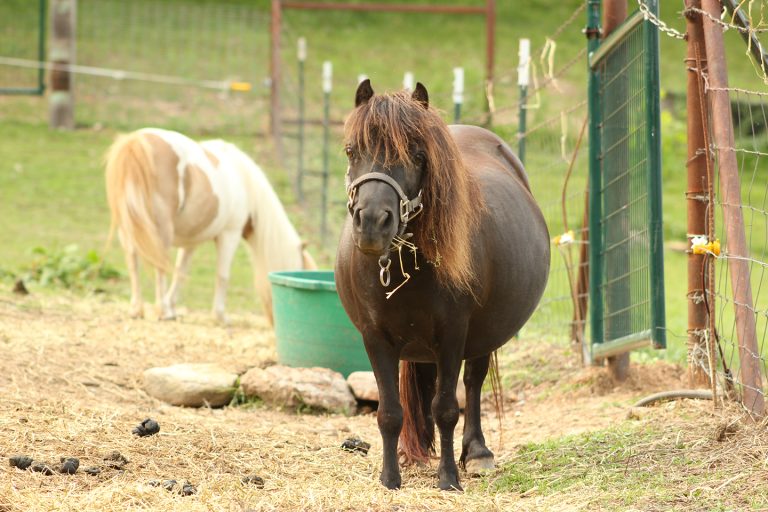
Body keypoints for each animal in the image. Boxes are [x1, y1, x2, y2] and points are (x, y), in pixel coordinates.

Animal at [105, 128, 316, 324]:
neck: (244, 181)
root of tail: (135, 142)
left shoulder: (190, 242)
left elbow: (180, 272)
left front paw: (173, 307)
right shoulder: (229, 234)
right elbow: (222, 275)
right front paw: (220, 316)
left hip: (129, 230)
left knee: (132, 261)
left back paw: (137, 310)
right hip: (160, 230)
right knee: (158, 264)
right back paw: (162, 312)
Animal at [335, 80, 550, 491]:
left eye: (418, 155)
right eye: (352, 150)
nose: (372, 222)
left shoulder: (452, 334)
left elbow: (447, 408)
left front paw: (448, 477)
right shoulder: (375, 337)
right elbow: (389, 412)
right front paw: (390, 478)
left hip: (483, 335)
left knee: (473, 382)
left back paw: (477, 452)